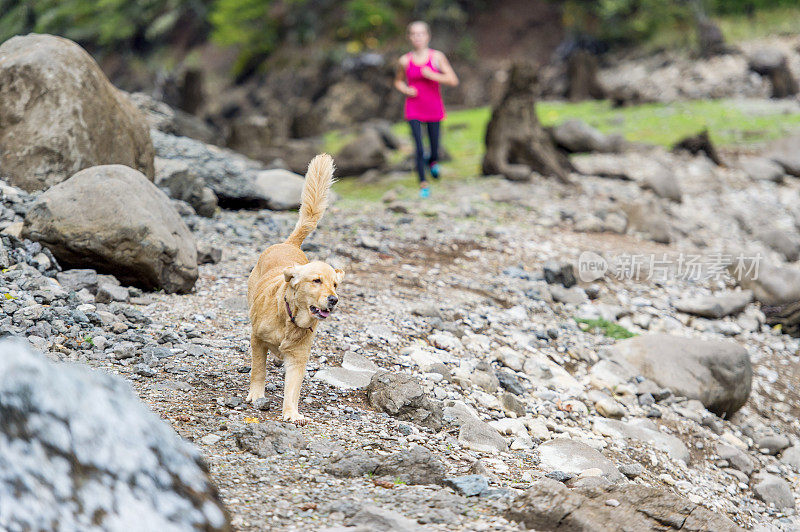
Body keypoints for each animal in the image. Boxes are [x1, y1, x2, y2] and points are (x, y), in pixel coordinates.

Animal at [245, 154, 342, 424]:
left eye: (335, 284)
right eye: (316, 281)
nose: (334, 300)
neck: (291, 321)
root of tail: (289, 244)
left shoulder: (299, 357)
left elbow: (293, 387)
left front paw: (292, 413)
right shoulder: (257, 339)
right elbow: (258, 368)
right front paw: (256, 394)